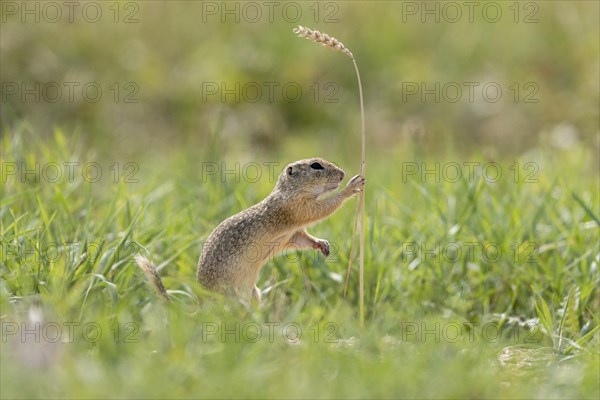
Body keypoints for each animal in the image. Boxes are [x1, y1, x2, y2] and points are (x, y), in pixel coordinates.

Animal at [137, 158, 366, 302]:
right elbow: (323, 208)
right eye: (316, 165)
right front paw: (352, 187)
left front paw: (322, 244)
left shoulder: (292, 233)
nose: (342, 174)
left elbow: (302, 238)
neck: (289, 192)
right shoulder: (296, 210)